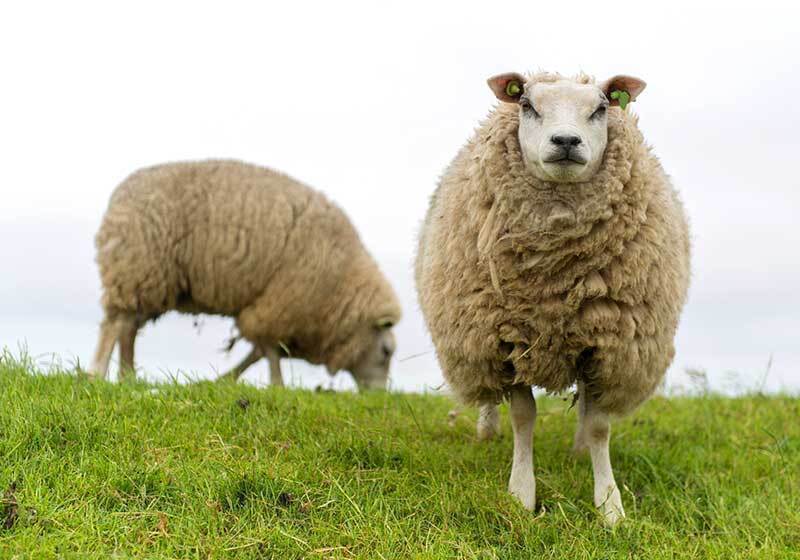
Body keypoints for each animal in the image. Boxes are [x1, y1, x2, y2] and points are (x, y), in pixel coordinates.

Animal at [90, 159, 401, 390]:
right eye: (386, 352)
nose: (379, 395)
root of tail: (117, 197)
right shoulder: (281, 304)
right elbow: (269, 351)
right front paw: (277, 385)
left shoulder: (272, 307)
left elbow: (258, 352)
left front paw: (224, 380)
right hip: (137, 268)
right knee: (115, 324)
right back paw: (97, 372)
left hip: (152, 281)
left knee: (128, 327)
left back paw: (127, 376)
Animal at [415, 71, 690, 525]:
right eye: (527, 105)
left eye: (601, 108)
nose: (565, 141)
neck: (554, 286)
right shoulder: (507, 340)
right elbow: (523, 417)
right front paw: (521, 494)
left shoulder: (606, 343)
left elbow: (599, 425)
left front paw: (609, 505)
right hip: (476, 341)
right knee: (489, 398)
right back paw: (486, 430)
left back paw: (579, 449)